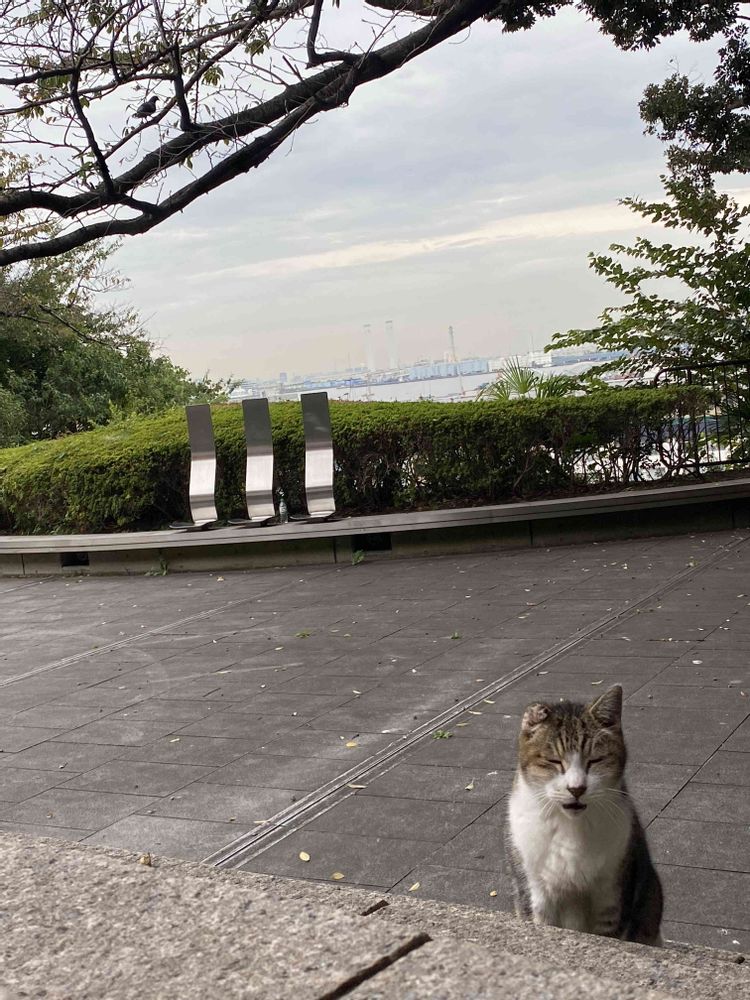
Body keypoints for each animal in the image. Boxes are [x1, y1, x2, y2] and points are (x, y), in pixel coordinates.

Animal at [506, 688, 664, 944]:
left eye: (595, 760)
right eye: (554, 761)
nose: (577, 788)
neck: (570, 827)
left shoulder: (612, 898)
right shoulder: (535, 894)